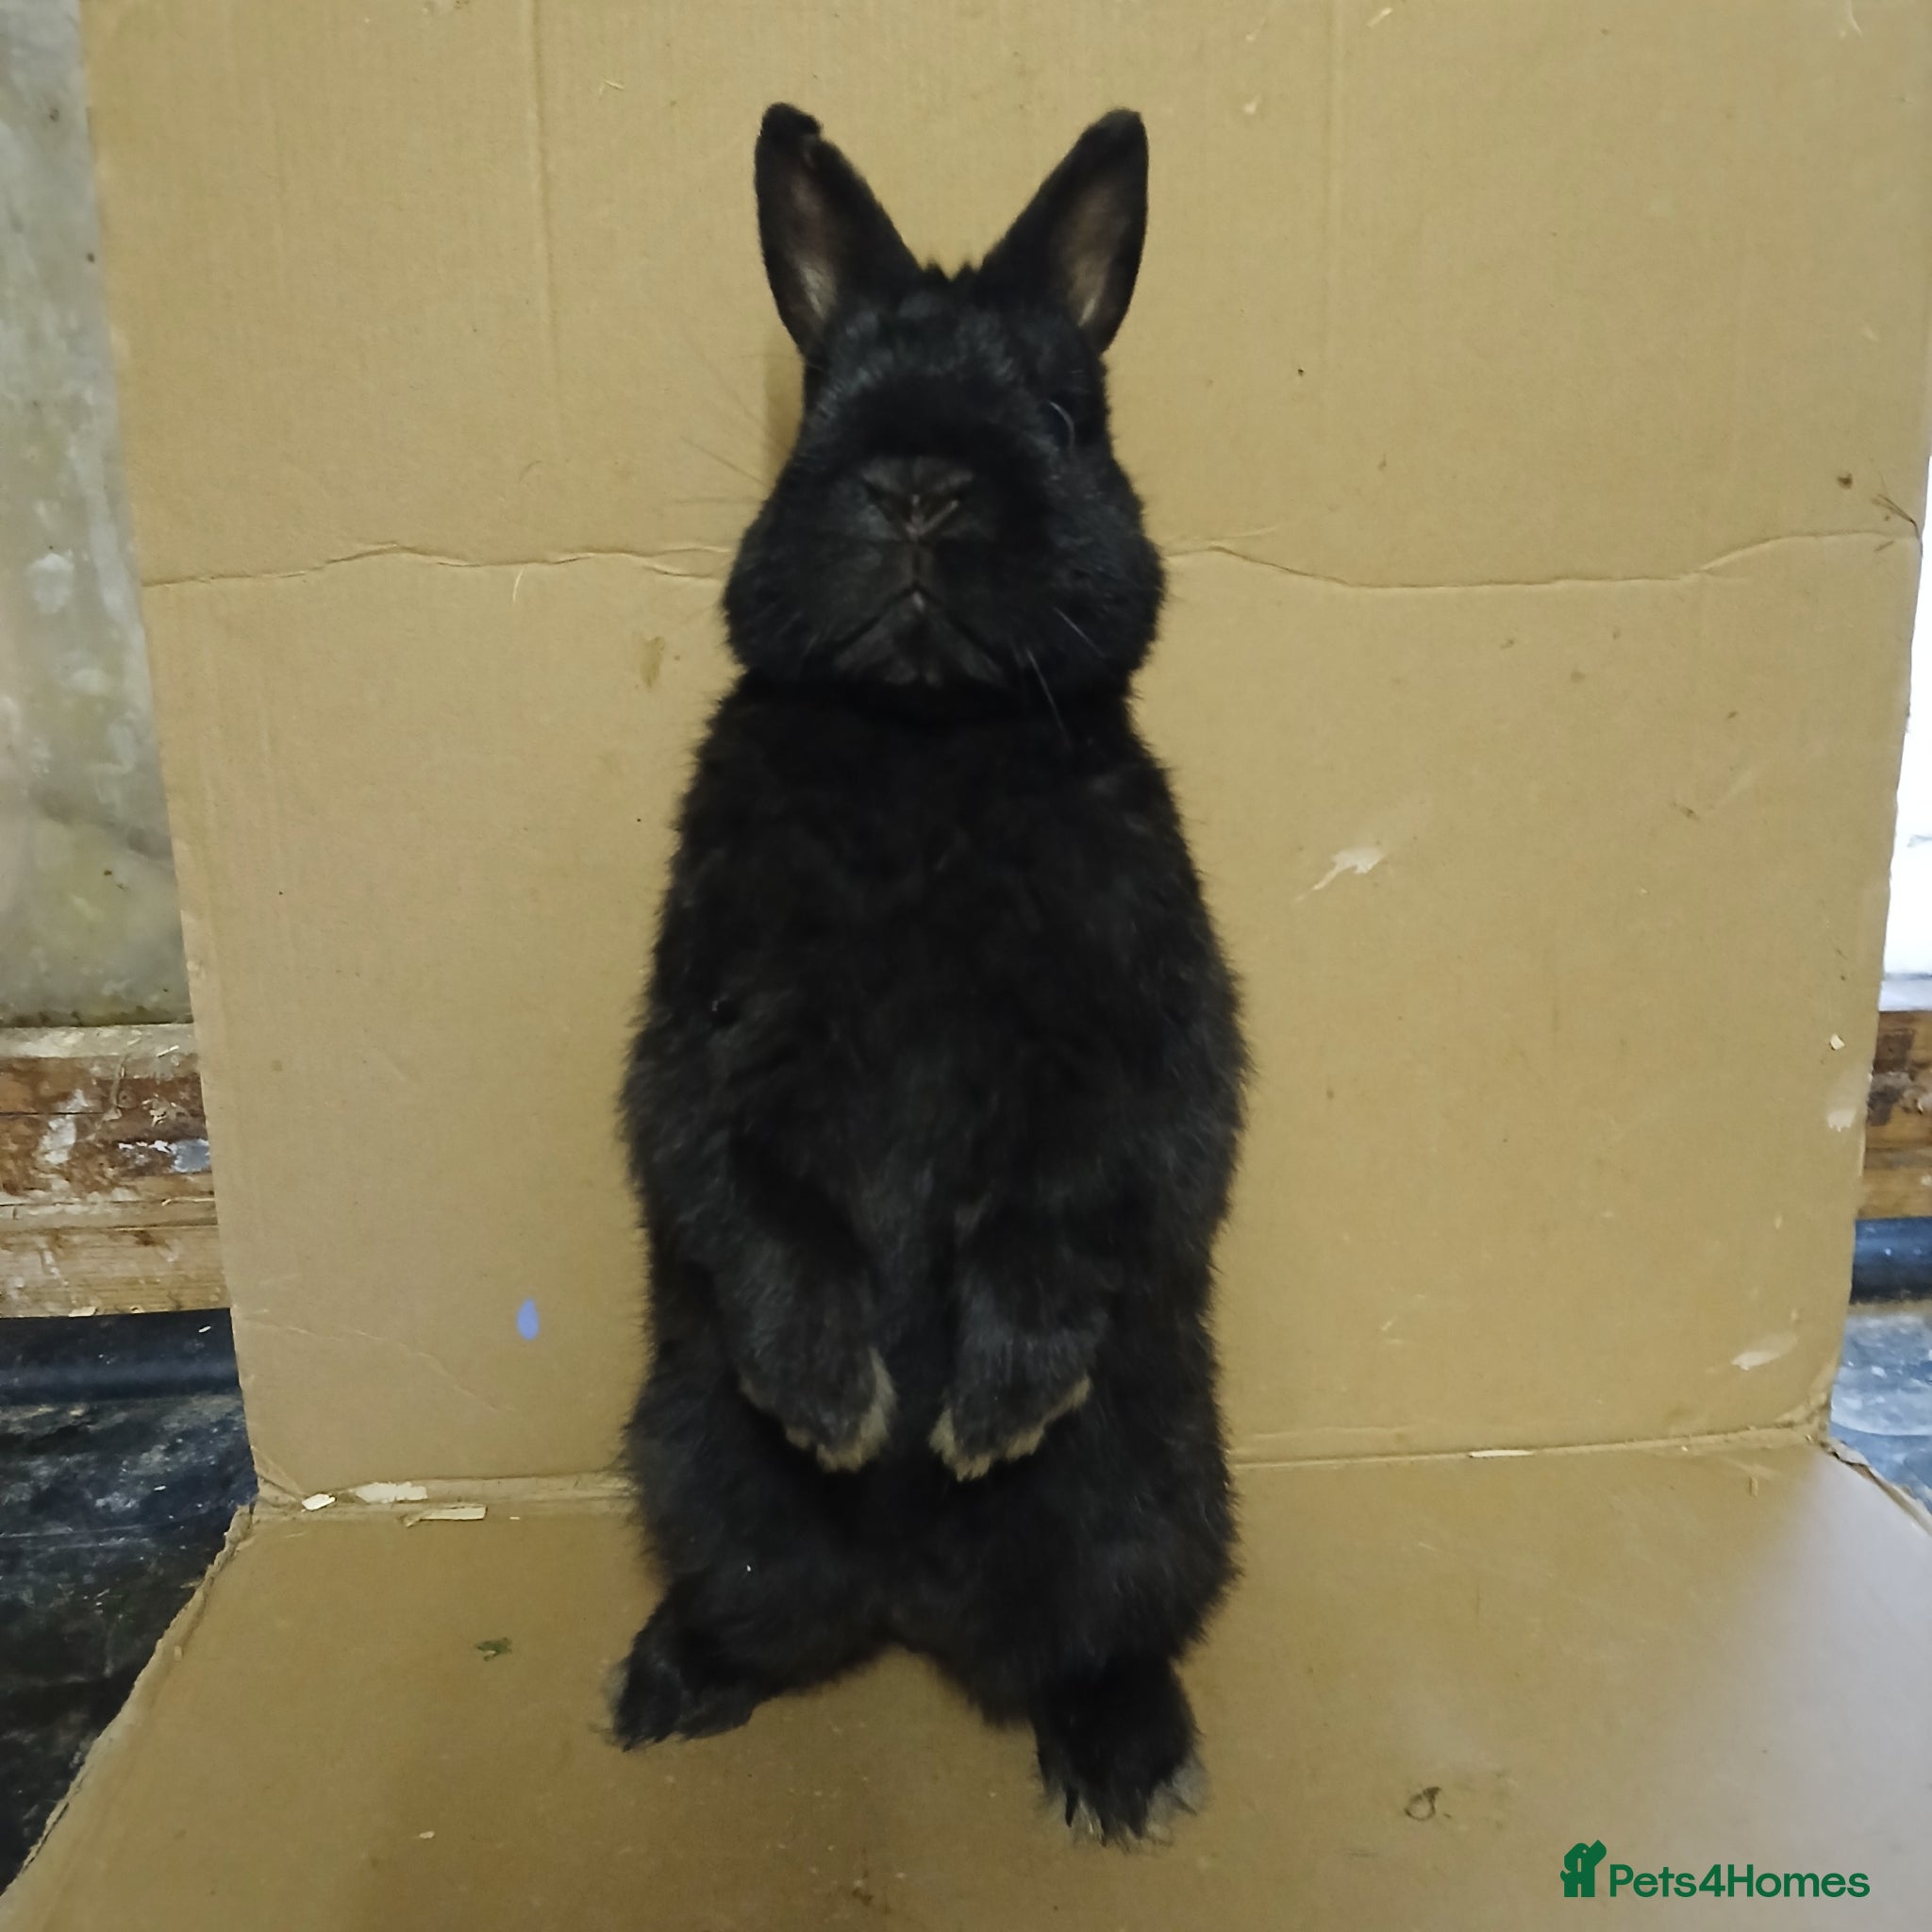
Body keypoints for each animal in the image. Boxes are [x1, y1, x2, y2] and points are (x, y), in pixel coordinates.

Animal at [614, 102, 1247, 1847]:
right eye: (823, 402)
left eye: (1060, 412)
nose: (915, 486)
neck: (924, 739)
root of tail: (908, 1593)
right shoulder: (710, 1033)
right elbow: (746, 1192)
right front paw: (838, 1401)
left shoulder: (1133, 1041)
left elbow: (1070, 1198)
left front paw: (984, 1410)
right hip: (695, 1465)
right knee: (762, 1604)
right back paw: (665, 1682)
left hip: (1147, 1496)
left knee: (1098, 1632)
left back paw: (1128, 1764)